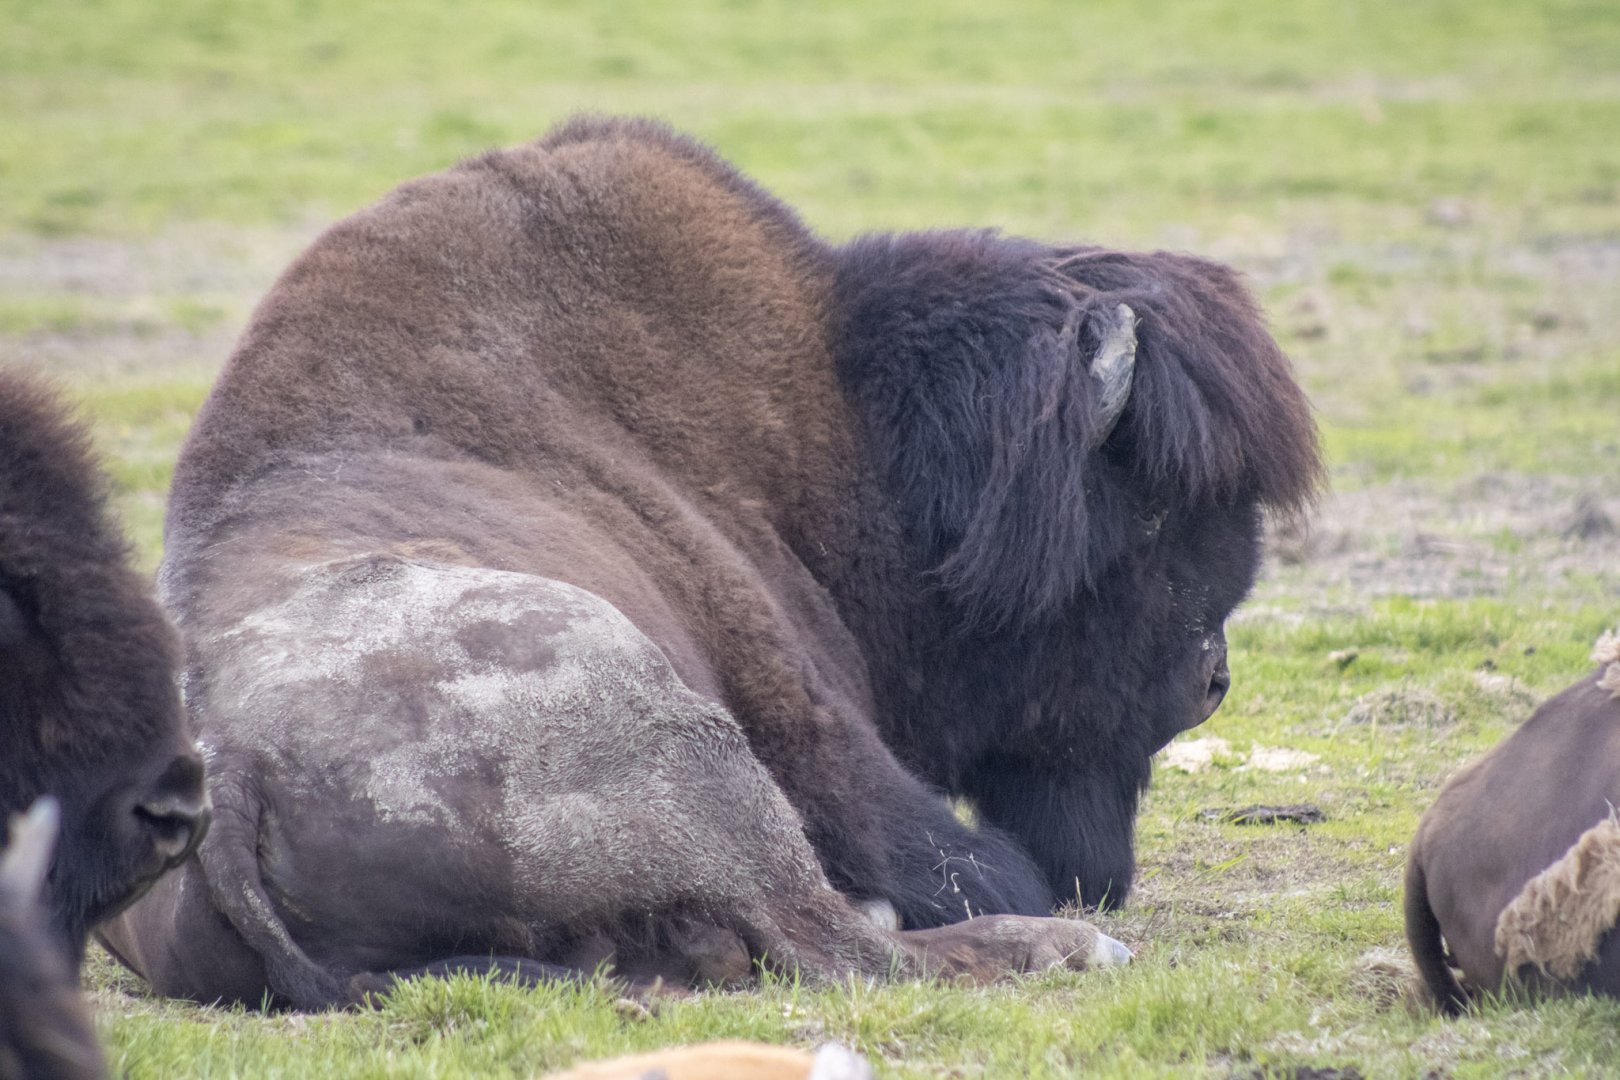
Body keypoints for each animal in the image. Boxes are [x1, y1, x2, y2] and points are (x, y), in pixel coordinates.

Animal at [101, 116, 1320, 1009]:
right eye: (1150, 523)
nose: (1211, 679)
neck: (841, 419)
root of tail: (233, 770)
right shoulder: (811, 719)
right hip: (680, 738)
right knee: (845, 948)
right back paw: (1065, 948)